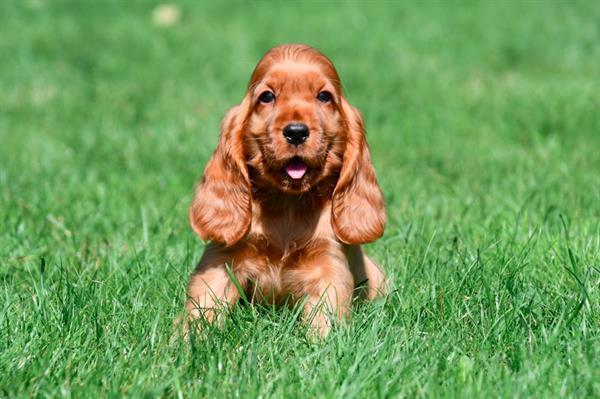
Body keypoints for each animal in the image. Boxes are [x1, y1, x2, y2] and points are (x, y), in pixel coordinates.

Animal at [185, 44, 386, 338]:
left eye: (324, 96)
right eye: (267, 96)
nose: (296, 132)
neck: (287, 204)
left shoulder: (328, 265)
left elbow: (324, 315)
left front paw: (321, 344)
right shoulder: (221, 259)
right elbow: (203, 304)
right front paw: (188, 341)